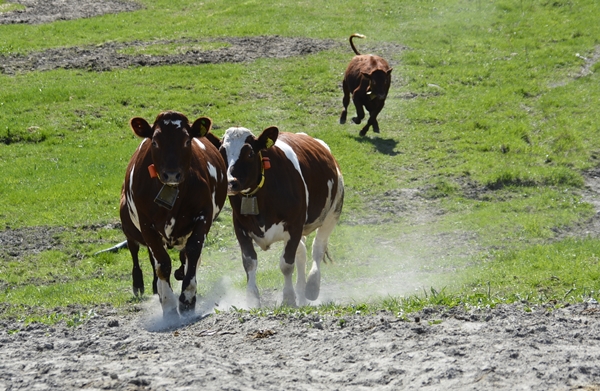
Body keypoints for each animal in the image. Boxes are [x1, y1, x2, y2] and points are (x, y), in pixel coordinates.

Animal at [119, 110, 227, 318]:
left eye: (187, 141)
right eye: (155, 141)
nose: (171, 174)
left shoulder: (204, 215)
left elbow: (193, 251)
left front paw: (187, 299)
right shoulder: (146, 224)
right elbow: (162, 263)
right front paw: (168, 304)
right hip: (129, 225)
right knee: (136, 250)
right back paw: (142, 285)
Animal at [218, 127, 344, 308]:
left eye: (250, 153)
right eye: (222, 152)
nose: (230, 182)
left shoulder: (294, 225)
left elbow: (286, 264)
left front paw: (288, 299)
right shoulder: (240, 226)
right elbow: (249, 262)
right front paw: (252, 300)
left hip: (333, 212)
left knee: (318, 248)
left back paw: (312, 286)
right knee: (302, 252)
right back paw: (302, 293)